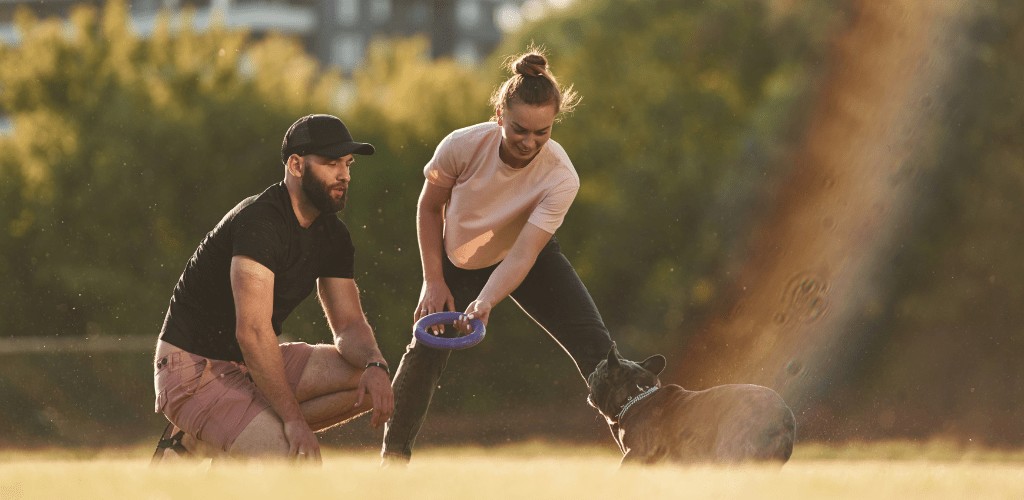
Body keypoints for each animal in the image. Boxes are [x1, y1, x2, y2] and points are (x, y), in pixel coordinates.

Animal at [589, 344, 794, 465]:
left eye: (598, 372)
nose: (590, 374)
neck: (636, 394)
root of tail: (783, 414)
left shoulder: (637, 453)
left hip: (731, 449)